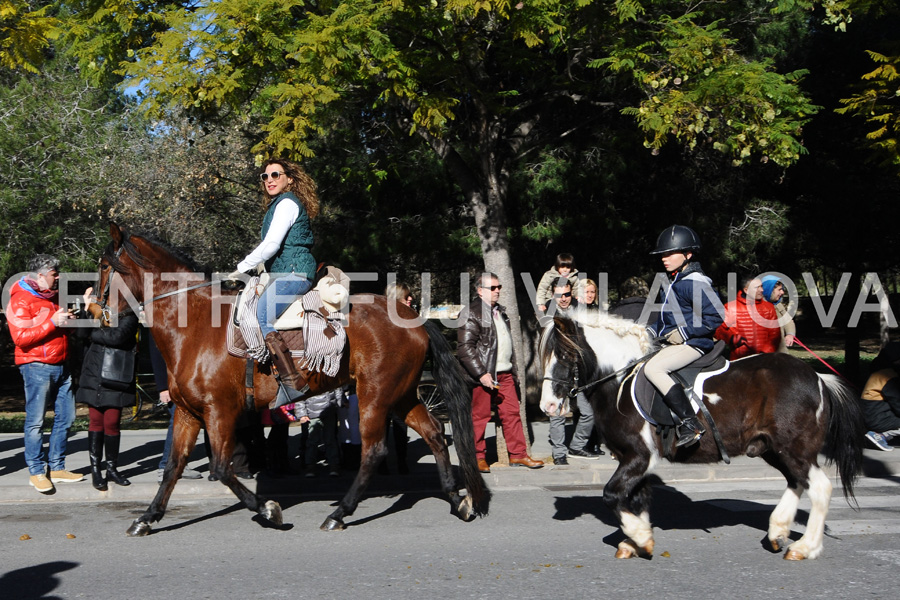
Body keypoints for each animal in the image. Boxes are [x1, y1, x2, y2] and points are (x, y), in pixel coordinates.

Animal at [96, 223, 492, 536]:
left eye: (103, 266)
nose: (94, 311)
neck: (193, 326)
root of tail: (414, 317)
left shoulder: (219, 411)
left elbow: (222, 468)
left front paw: (267, 509)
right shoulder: (188, 412)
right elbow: (173, 468)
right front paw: (147, 517)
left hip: (376, 396)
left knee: (374, 451)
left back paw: (339, 513)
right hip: (402, 395)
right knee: (435, 434)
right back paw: (458, 500)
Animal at [536, 310, 860, 564]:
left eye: (564, 355)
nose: (547, 406)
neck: (619, 381)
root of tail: (817, 378)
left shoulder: (640, 456)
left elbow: (613, 495)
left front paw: (640, 537)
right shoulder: (634, 459)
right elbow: (637, 498)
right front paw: (635, 541)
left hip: (795, 448)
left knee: (819, 488)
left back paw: (805, 547)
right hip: (774, 449)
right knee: (796, 482)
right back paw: (778, 531)